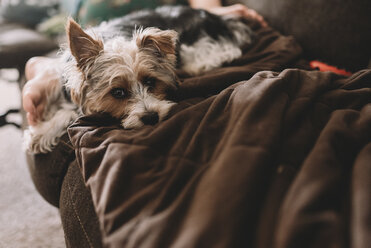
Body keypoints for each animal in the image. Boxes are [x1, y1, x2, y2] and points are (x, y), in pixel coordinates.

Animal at [23, 5, 256, 153]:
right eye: (118, 93)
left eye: (150, 82)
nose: (152, 117)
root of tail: (216, 18)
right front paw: (42, 130)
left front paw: (42, 131)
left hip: (194, 42)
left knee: (223, 53)